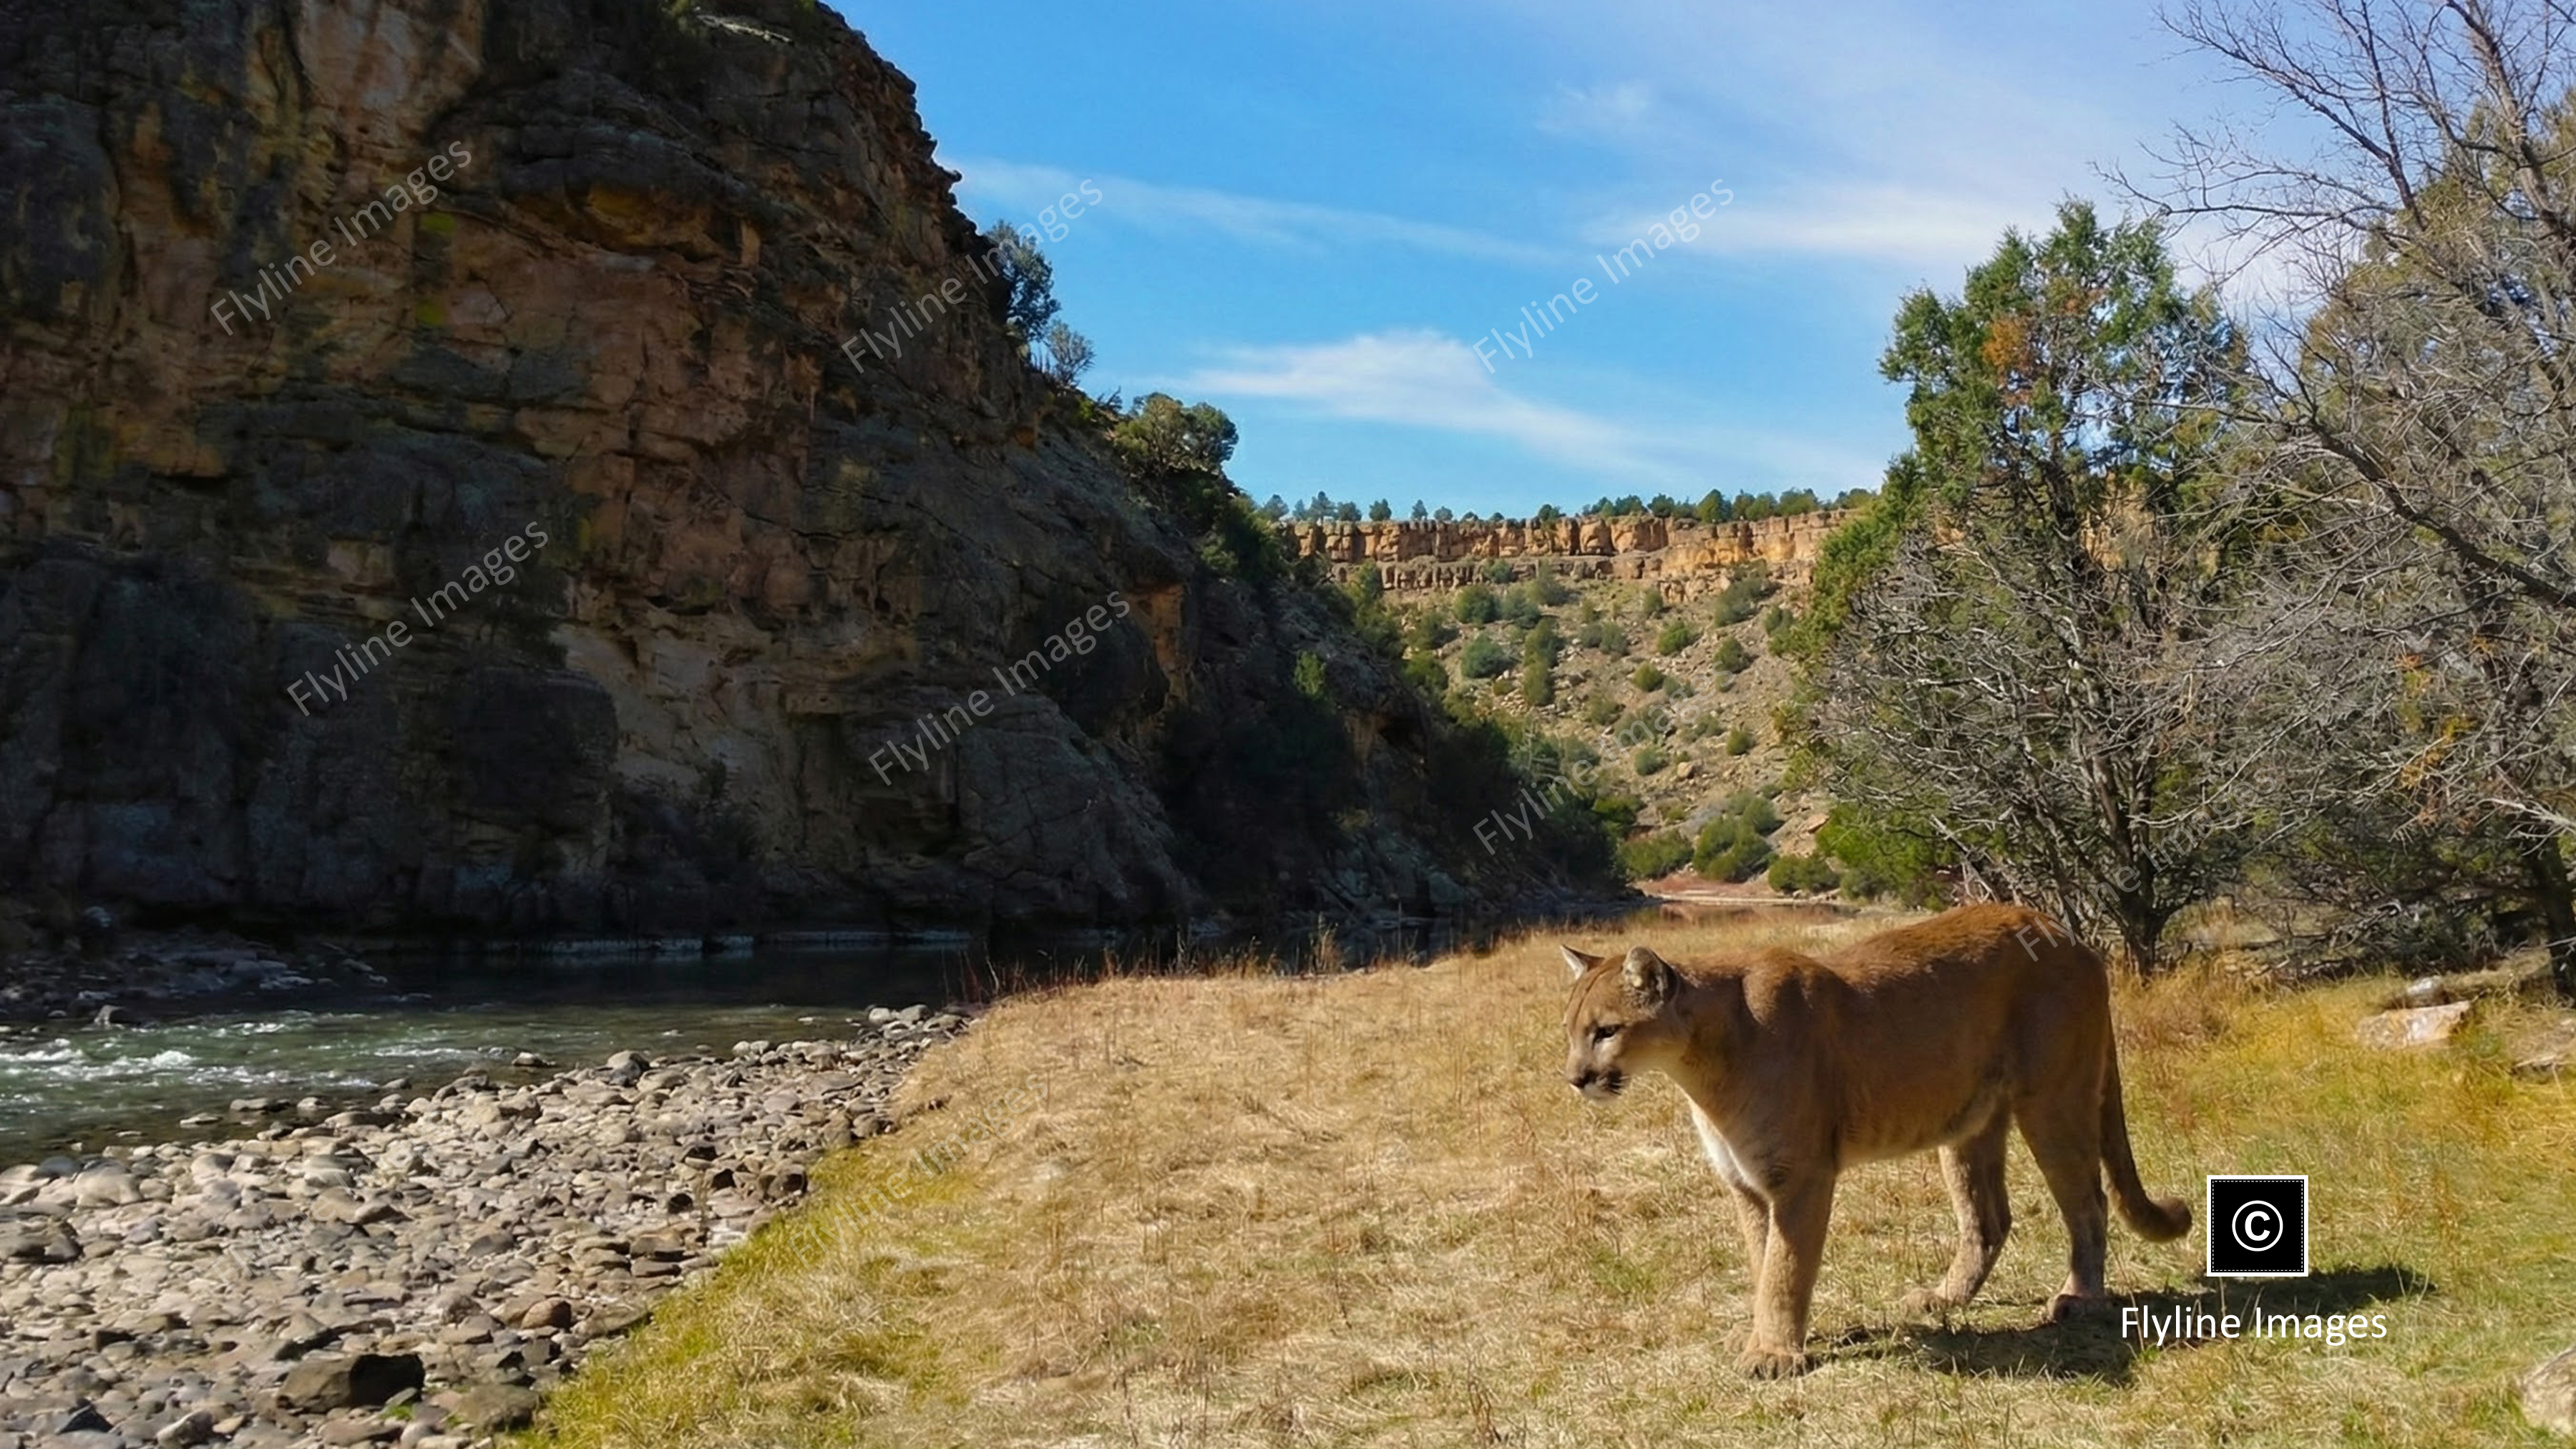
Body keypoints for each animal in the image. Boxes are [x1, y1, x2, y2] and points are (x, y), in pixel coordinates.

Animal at [1558, 903, 2190, 1378]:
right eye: (1570, 1031)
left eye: (1607, 1030)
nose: (1576, 1077)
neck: (1701, 1063)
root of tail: (2066, 932)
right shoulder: (1747, 1183)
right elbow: (1765, 1260)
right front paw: (1771, 1338)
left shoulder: (1800, 1176)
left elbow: (1786, 1266)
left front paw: (1773, 1353)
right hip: (1968, 1123)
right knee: (1989, 1216)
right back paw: (1943, 1297)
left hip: (2053, 1101)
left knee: (2089, 1201)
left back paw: (2079, 1298)